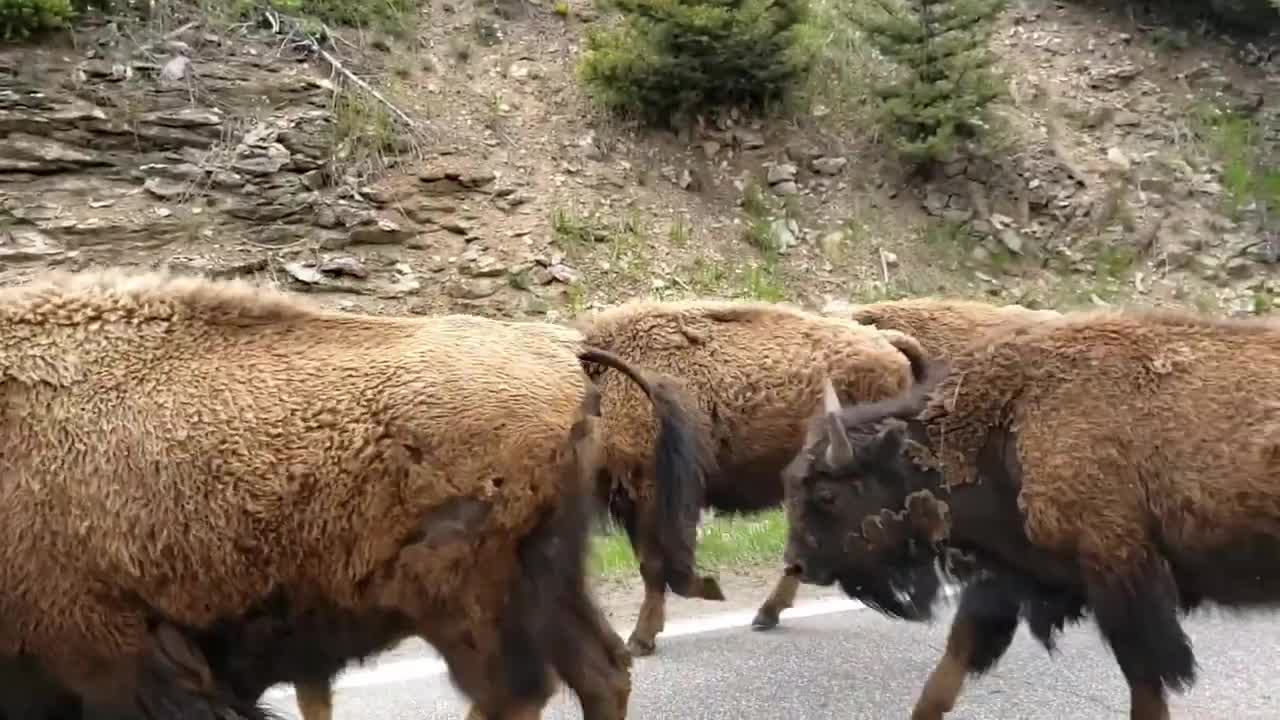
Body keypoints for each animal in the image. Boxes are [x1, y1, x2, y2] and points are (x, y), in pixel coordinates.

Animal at [0, 267, 711, 717]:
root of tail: (567, 352)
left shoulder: (106, 652)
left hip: (470, 601)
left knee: (517, 692)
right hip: (547, 582)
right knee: (599, 673)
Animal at [778, 307, 1280, 717]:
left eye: (827, 494)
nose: (799, 564)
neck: (1010, 422)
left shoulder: (1121, 579)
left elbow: (1146, 687)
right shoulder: (1007, 577)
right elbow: (945, 676)